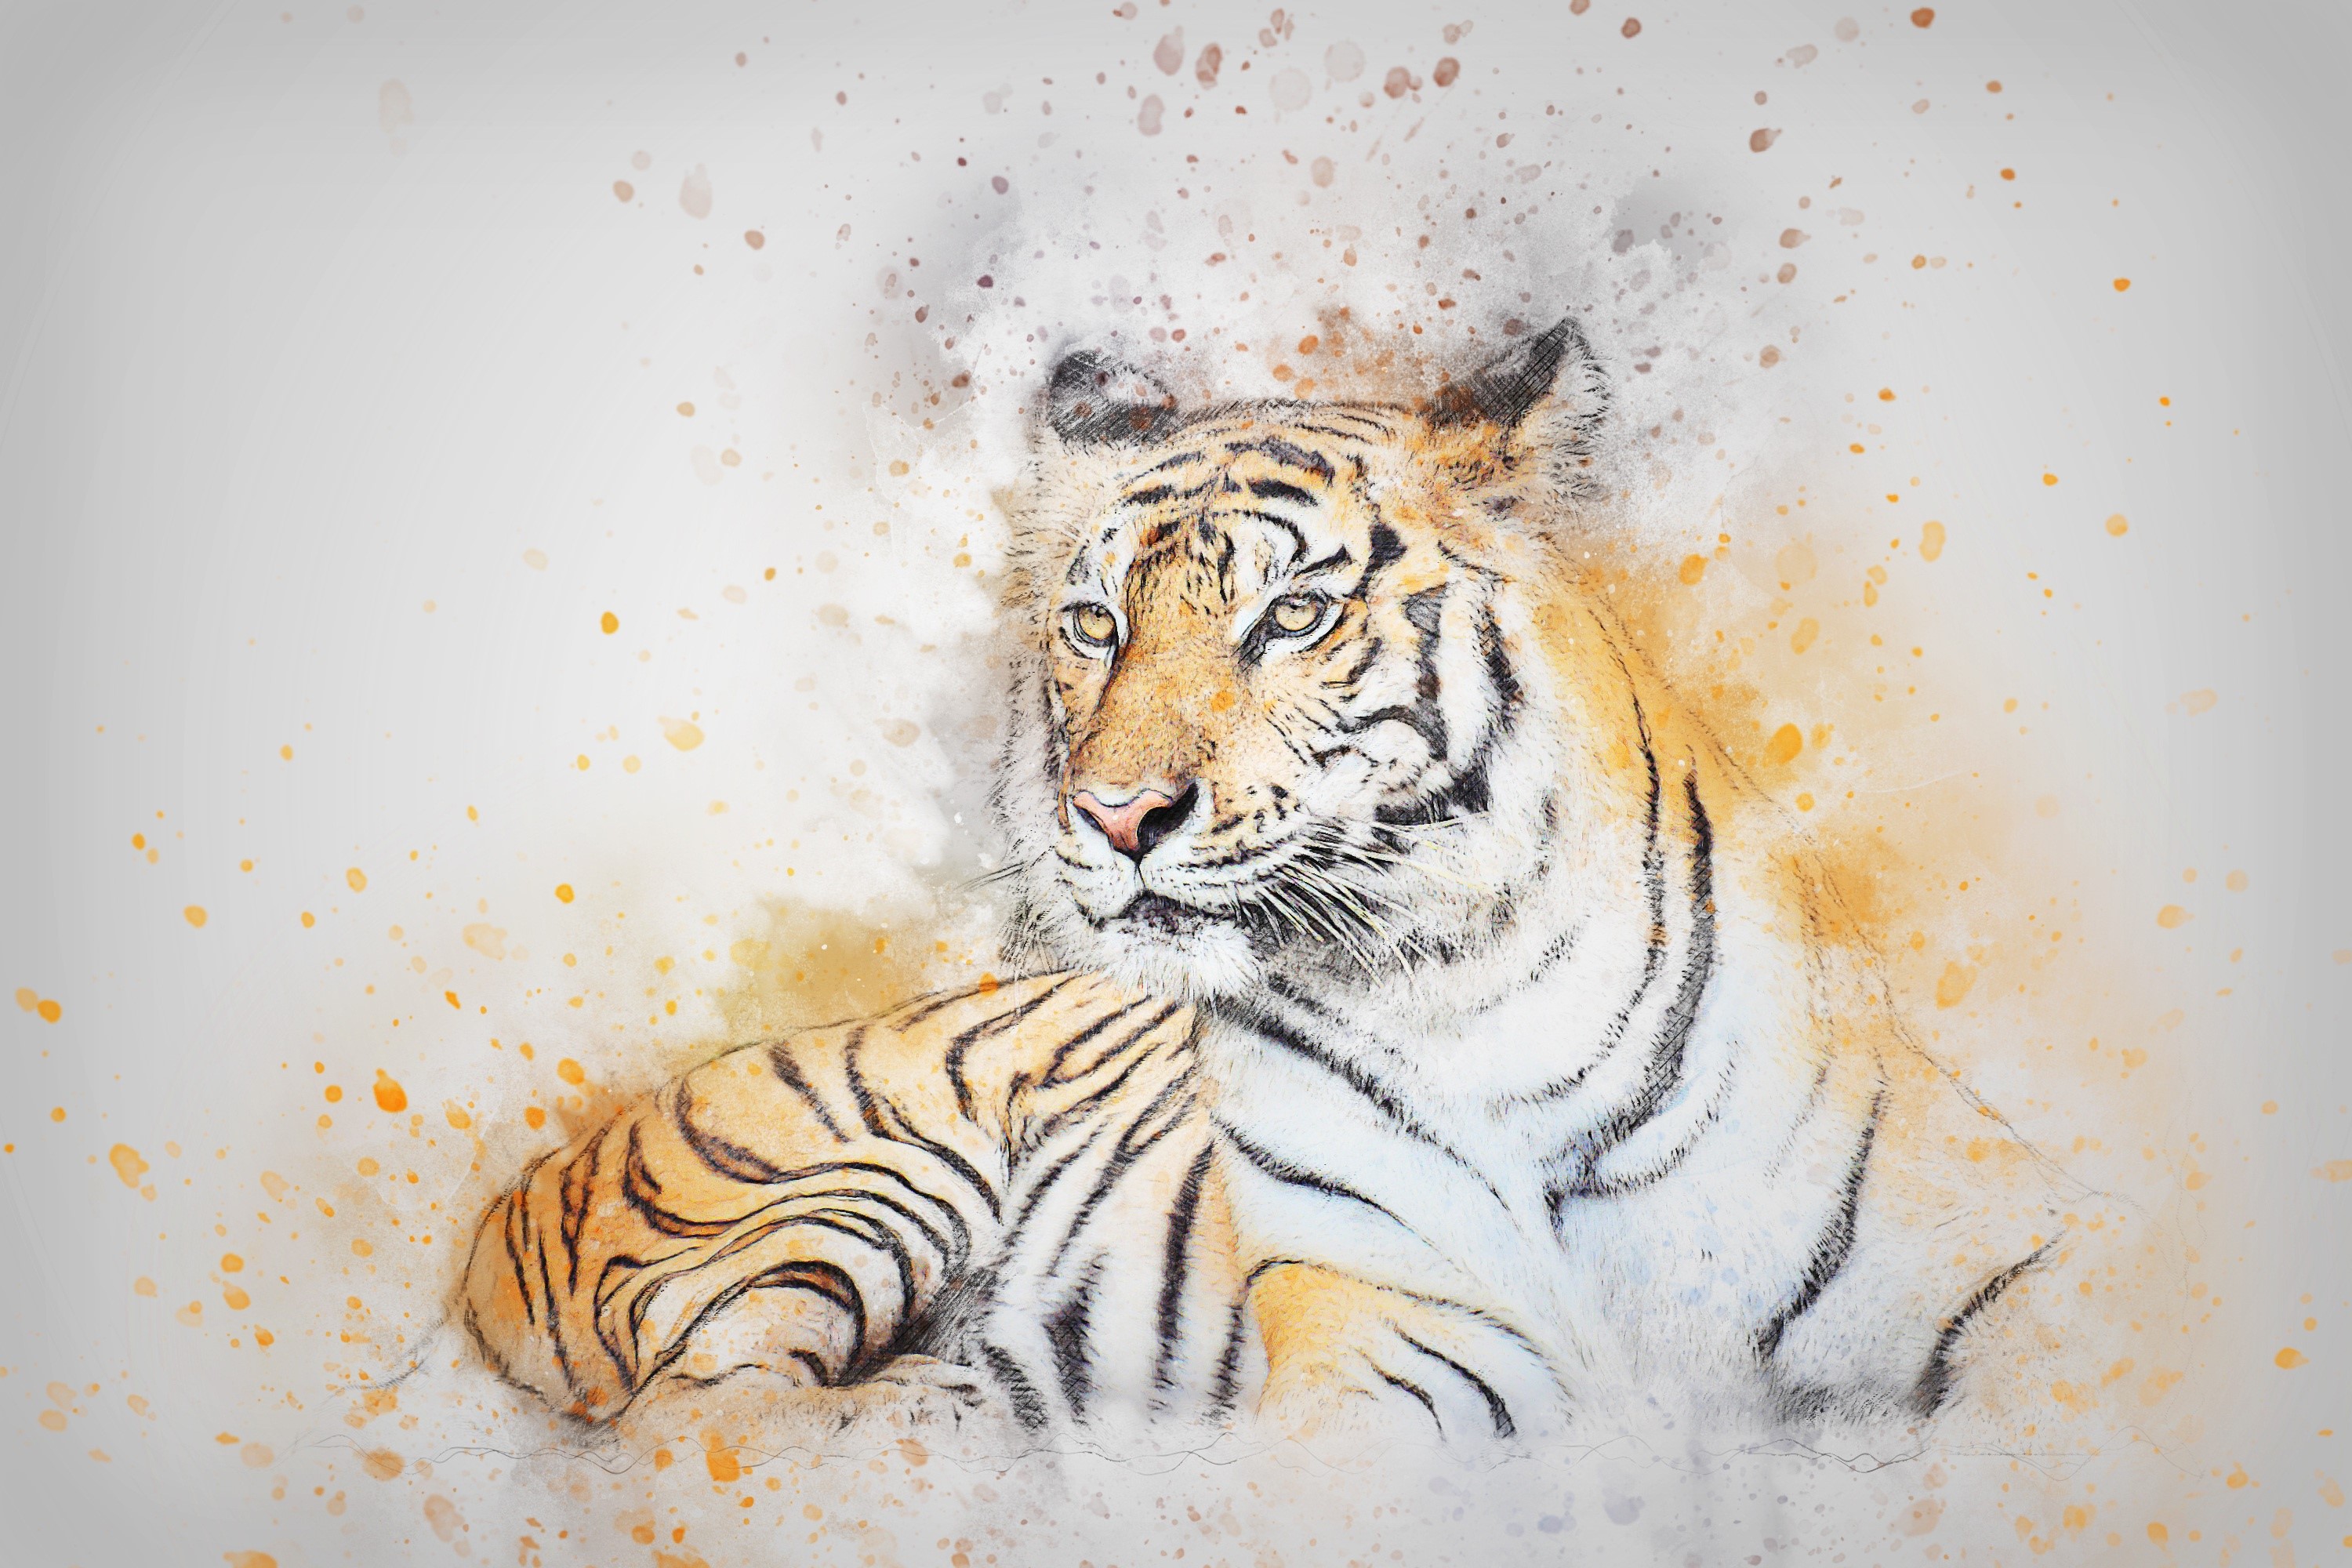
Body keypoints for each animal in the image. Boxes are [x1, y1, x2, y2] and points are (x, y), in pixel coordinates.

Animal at [461, 317, 2065, 1453]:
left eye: (1293, 617)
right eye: (1094, 626)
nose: (1116, 816)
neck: (1475, 988)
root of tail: (508, 1204)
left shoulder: (1993, 1260)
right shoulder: (1395, 1348)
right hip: (857, 1188)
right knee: (697, 1424)